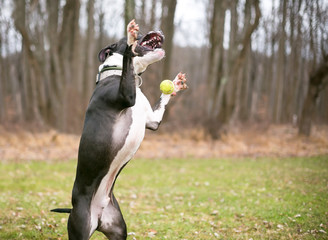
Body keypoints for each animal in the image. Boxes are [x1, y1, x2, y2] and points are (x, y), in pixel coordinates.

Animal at [52, 20, 188, 240]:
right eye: (141, 32)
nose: (159, 29)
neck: (114, 73)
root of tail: (98, 214)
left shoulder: (153, 121)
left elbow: (162, 100)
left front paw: (174, 85)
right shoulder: (125, 95)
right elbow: (127, 57)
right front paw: (130, 39)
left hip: (118, 228)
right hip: (80, 227)